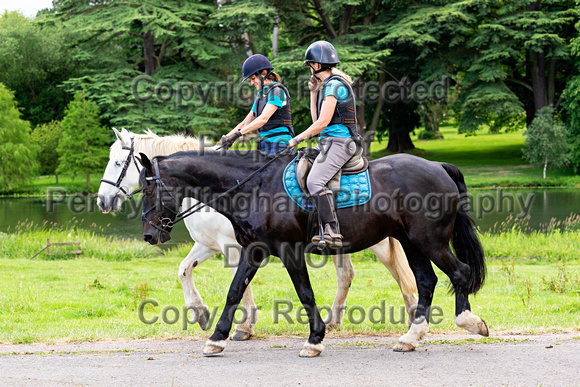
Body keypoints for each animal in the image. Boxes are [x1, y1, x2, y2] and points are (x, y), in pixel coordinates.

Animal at [98, 128, 416, 340]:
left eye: (117, 163)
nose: (101, 201)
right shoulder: (208, 245)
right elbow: (184, 269)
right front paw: (200, 313)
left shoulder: (233, 247)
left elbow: (241, 285)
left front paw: (243, 325)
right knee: (346, 275)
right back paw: (335, 320)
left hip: (377, 240)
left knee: (398, 270)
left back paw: (413, 311)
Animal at [138, 151, 488, 358]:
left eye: (149, 189)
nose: (149, 235)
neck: (254, 187)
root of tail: (438, 166)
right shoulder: (253, 250)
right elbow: (234, 291)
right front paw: (217, 337)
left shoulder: (289, 251)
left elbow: (305, 293)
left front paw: (315, 339)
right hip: (412, 242)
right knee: (427, 281)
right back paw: (411, 337)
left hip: (430, 241)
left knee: (459, 272)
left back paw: (468, 321)